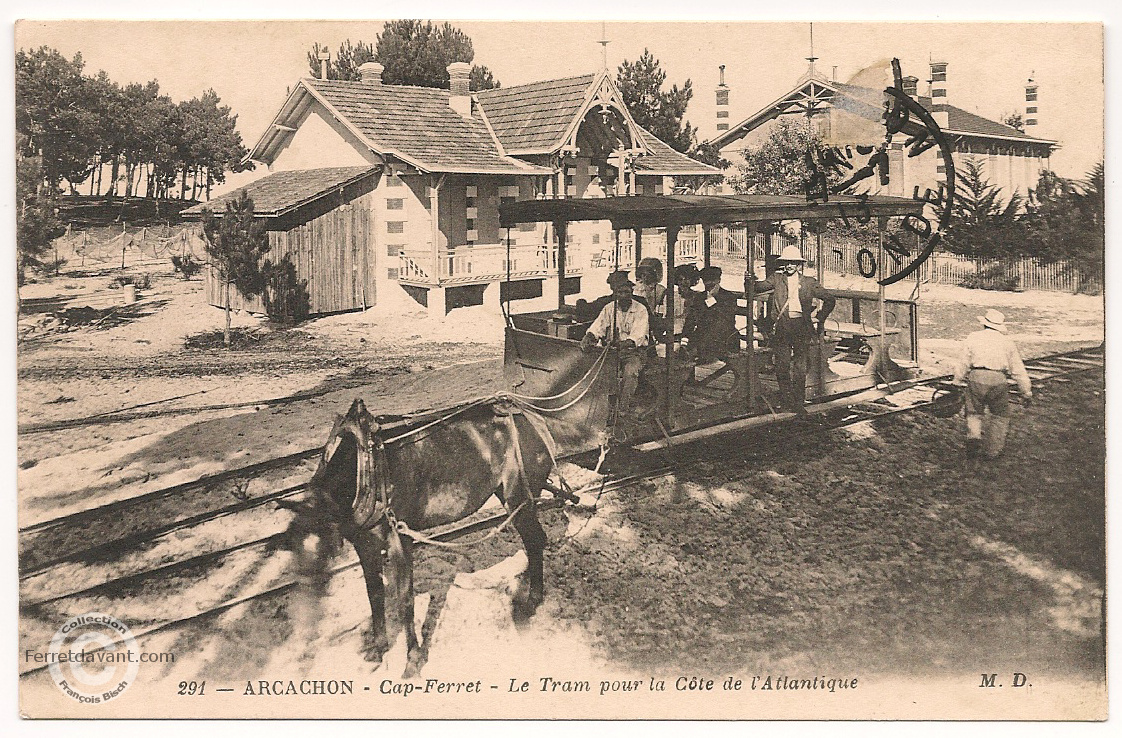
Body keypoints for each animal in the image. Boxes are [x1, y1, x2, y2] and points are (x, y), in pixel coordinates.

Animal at [282, 397, 554, 672]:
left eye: (323, 549)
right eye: (292, 552)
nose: (305, 619)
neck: (365, 468)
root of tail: (535, 423)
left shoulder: (400, 539)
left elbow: (405, 599)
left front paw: (412, 657)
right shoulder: (364, 545)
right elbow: (375, 596)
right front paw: (378, 649)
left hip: (519, 497)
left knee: (534, 541)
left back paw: (532, 599)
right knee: (534, 541)